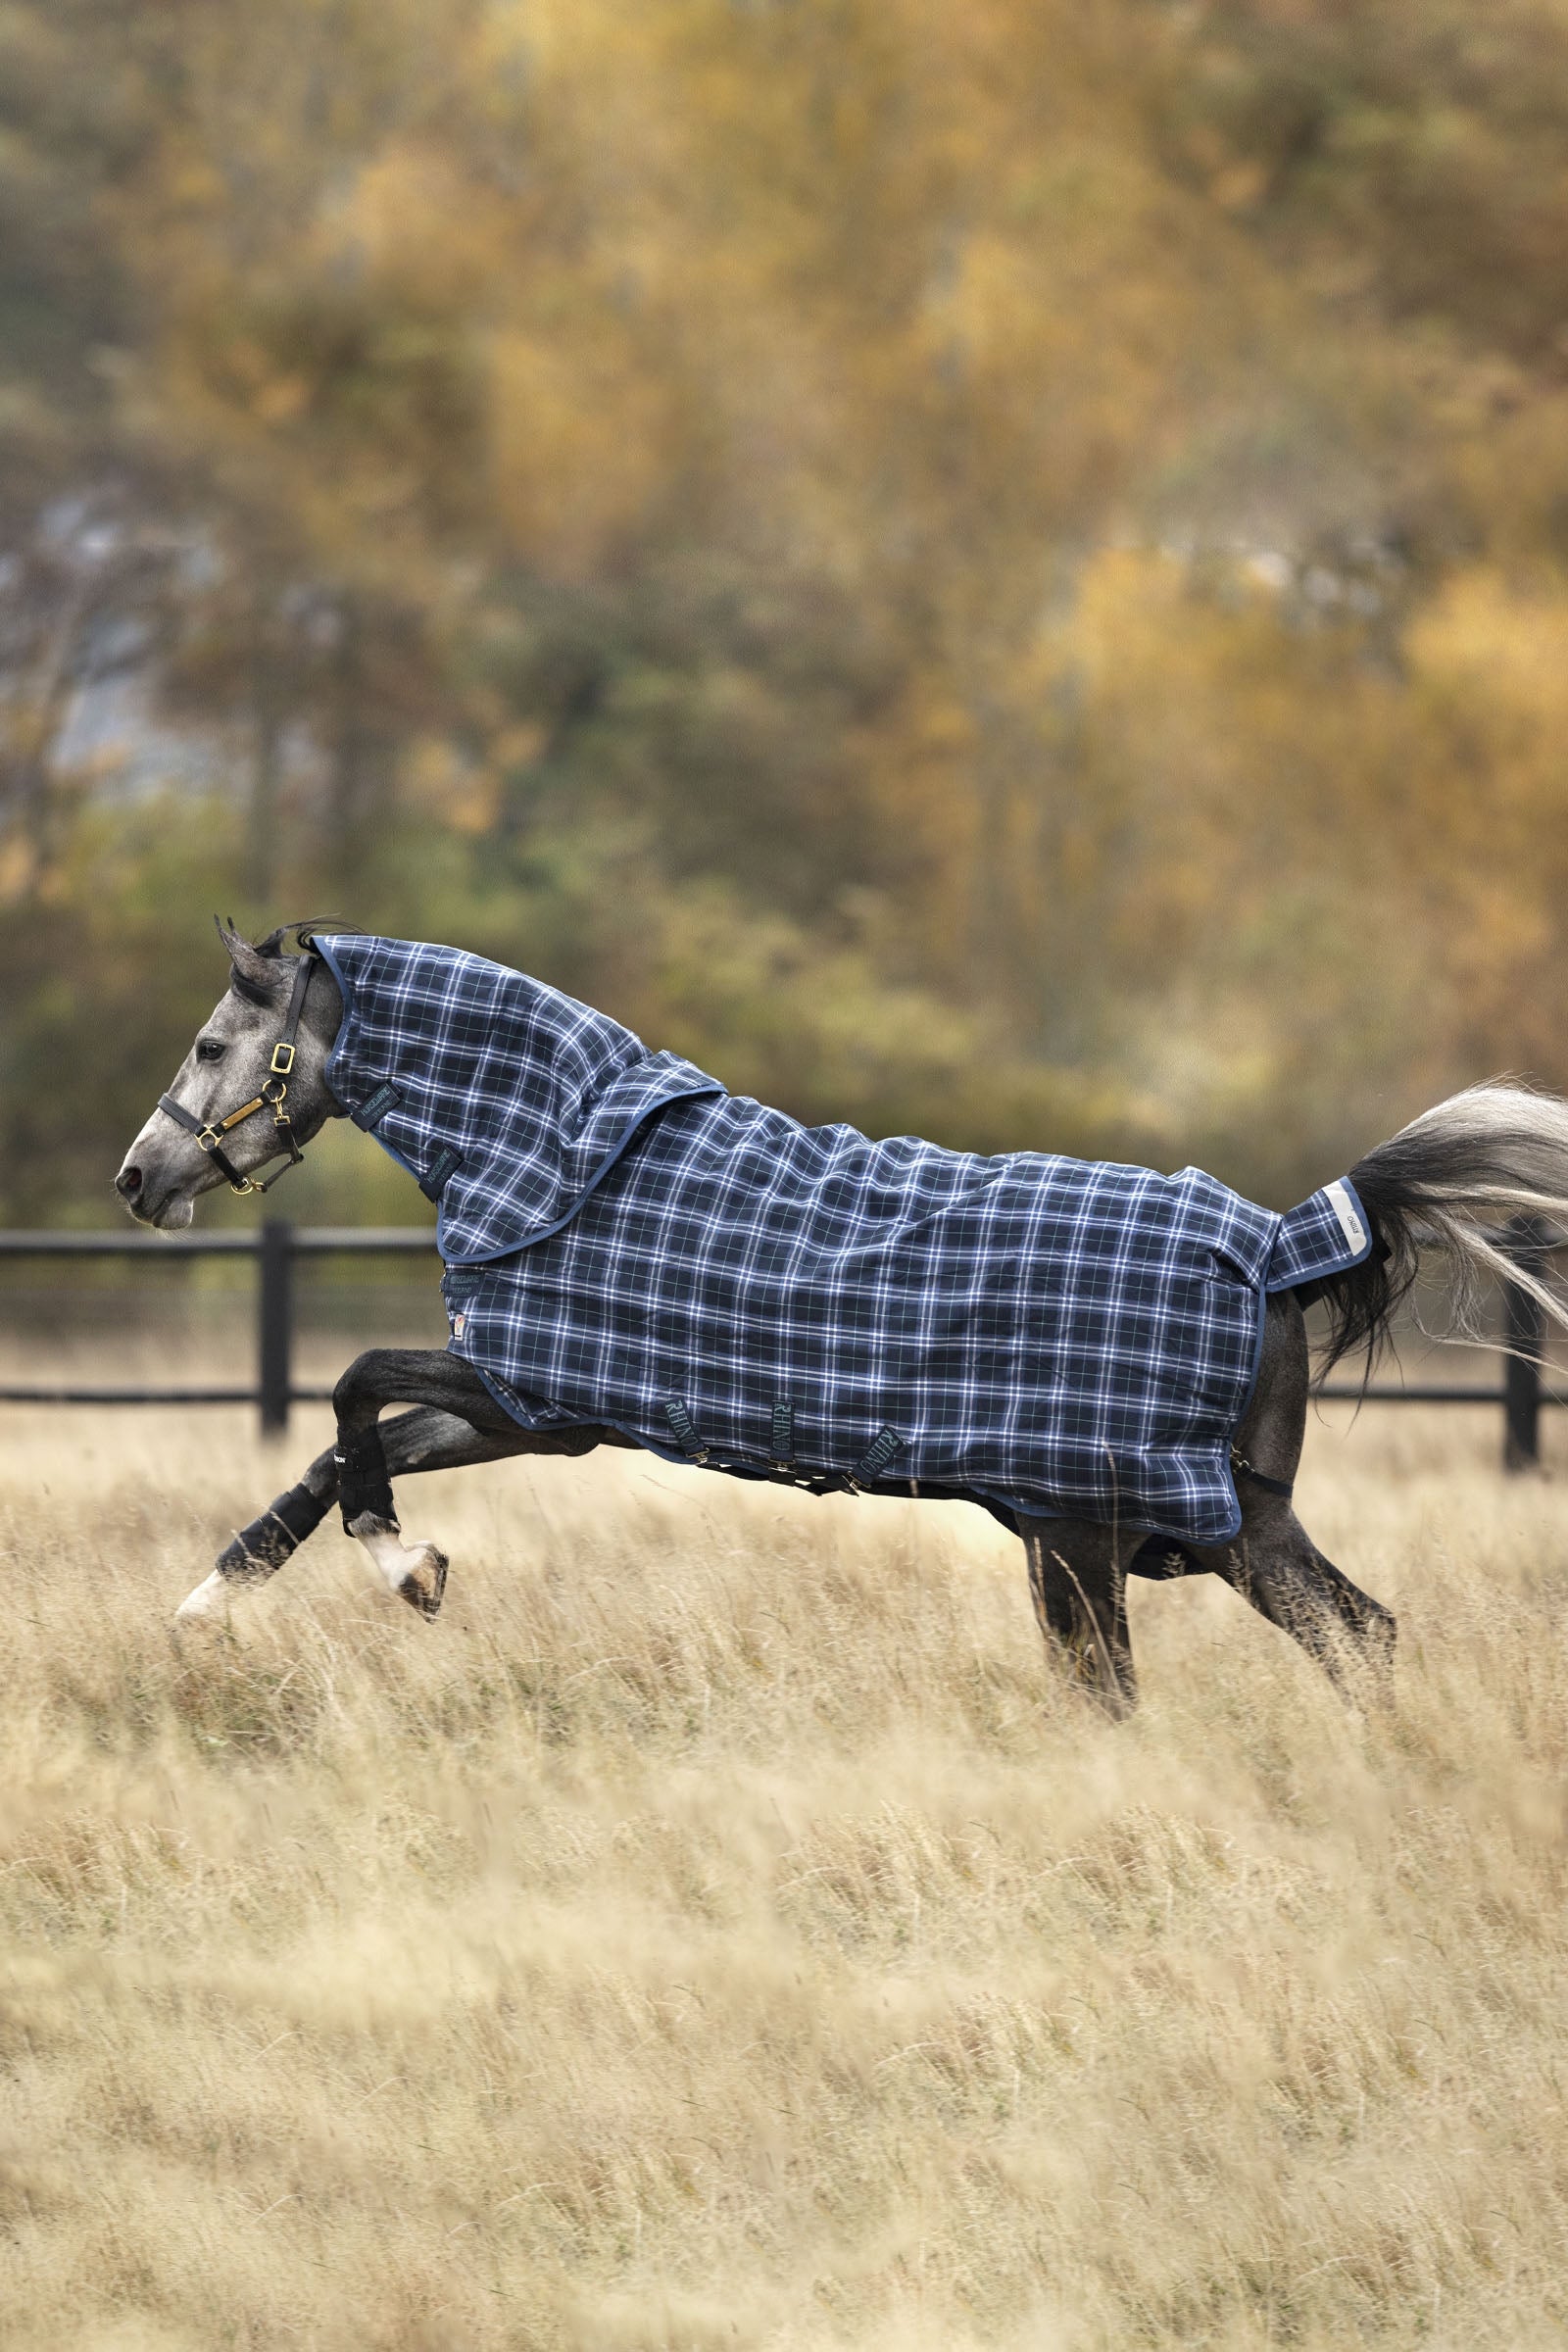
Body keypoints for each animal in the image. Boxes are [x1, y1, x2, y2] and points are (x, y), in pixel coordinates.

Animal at [113, 919, 1568, 1716]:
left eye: (209, 1046)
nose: (138, 1179)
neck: (558, 1153)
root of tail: (1276, 1245)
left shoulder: (534, 1395)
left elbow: (352, 1386)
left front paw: (402, 1568)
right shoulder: (542, 1415)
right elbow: (329, 1456)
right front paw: (208, 1606)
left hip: (1090, 1537)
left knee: (1137, 1690)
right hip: (1219, 1529)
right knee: (1360, 1639)